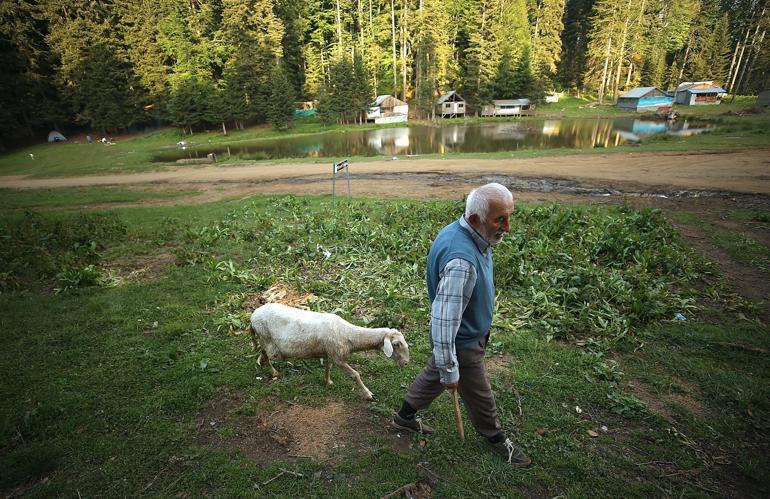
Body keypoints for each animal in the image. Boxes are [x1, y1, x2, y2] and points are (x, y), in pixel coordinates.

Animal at [250, 302, 408, 400]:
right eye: (396, 344)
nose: (406, 363)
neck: (349, 335)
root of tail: (252, 317)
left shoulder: (330, 353)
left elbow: (328, 367)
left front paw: (328, 382)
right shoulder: (338, 357)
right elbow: (355, 375)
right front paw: (368, 394)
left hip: (265, 339)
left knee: (262, 352)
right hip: (267, 339)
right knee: (266, 354)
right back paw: (273, 371)